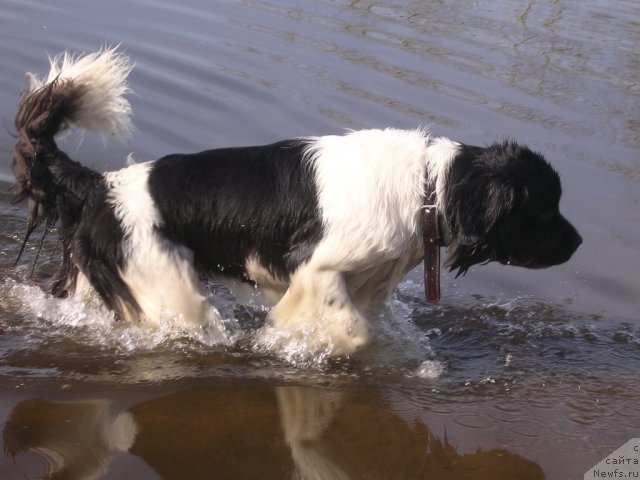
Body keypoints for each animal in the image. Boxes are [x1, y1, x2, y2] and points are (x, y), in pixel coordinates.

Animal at [10, 49, 584, 356]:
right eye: (544, 209)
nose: (579, 241)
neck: (427, 188)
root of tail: (99, 184)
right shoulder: (317, 268)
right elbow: (350, 332)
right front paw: (285, 341)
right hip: (170, 292)